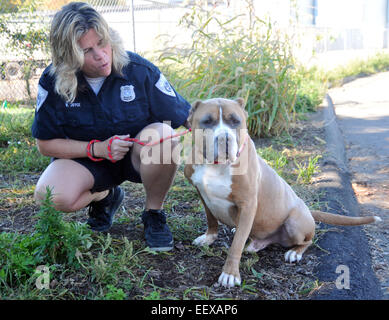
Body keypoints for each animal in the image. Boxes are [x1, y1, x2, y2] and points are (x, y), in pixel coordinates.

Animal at [183, 97, 380, 288]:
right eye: (207, 121)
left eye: (235, 121)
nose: (225, 138)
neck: (216, 166)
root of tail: (308, 211)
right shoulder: (202, 193)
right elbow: (211, 219)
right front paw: (209, 237)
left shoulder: (248, 205)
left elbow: (236, 245)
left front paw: (230, 274)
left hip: (294, 223)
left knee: (307, 241)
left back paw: (294, 252)